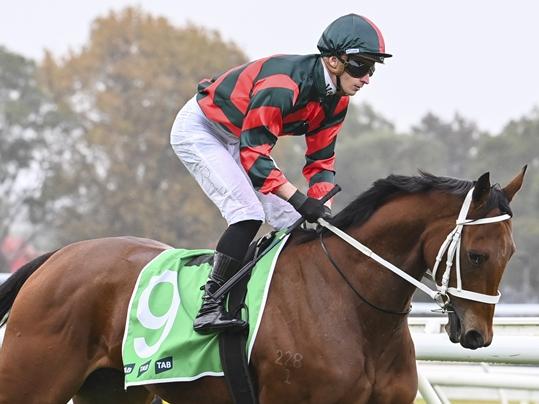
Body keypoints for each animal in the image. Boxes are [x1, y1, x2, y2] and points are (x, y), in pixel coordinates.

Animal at [0, 168, 524, 404]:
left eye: (511, 253)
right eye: (476, 255)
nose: (477, 335)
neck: (353, 309)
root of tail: (56, 257)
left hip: (114, 390)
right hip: (32, 382)